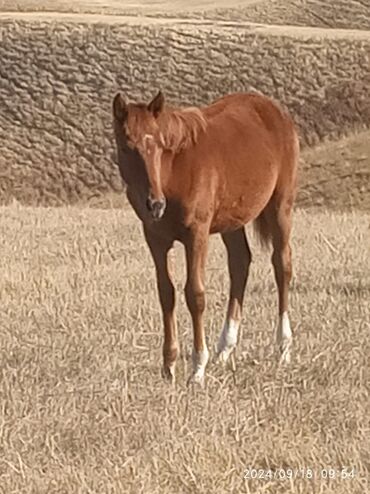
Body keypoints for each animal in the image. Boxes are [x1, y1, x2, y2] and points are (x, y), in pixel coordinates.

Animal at [112, 90, 298, 384]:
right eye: (126, 148)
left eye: (159, 147)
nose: (155, 205)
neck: (174, 173)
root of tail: (274, 109)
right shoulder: (155, 238)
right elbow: (166, 293)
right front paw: (169, 366)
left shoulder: (197, 234)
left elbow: (195, 294)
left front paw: (197, 368)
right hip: (232, 221)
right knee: (240, 264)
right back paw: (225, 349)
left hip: (281, 206)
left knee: (282, 265)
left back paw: (283, 348)